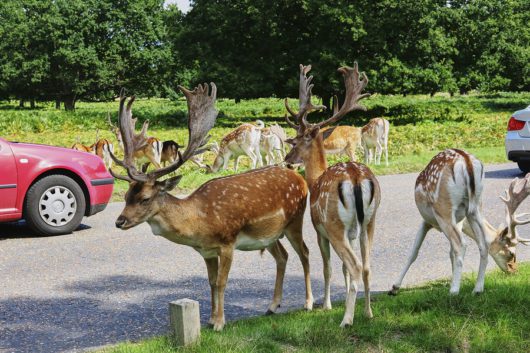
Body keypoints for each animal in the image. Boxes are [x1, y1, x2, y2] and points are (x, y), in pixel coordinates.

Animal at [108, 84, 314, 330]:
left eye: (145, 198)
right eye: (127, 195)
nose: (119, 221)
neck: (200, 221)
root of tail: (299, 177)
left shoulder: (227, 242)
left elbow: (223, 282)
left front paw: (219, 323)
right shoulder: (206, 251)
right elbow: (211, 282)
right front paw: (209, 319)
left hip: (295, 220)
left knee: (305, 252)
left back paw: (309, 303)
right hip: (270, 234)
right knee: (282, 256)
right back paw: (272, 306)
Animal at [282, 62, 378, 328]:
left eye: (296, 142)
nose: (287, 160)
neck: (315, 180)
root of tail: (355, 177)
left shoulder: (319, 230)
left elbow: (328, 268)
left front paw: (326, 306)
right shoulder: (352, 232)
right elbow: (343, 269)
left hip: (333, 223)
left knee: (355, 265)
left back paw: (346, 320)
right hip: (370, 221)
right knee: (366, 266)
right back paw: (368, 313)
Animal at [388, 149, 528, 296]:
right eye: (511, 253)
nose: (515, 271)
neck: (464, 225)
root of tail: (466, 161)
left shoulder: (427, 221)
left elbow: (413, 252)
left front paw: (394, 287)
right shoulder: (459, 221)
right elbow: (449, 253)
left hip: (444, 210)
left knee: (461, 244)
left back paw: (454, 291)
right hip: (475, 207)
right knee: (483, 244)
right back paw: (477, 289)